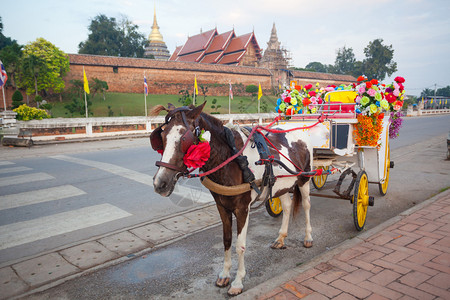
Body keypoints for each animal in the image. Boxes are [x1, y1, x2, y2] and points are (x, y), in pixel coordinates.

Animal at [151, 102, 312, 296]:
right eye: (162, 136)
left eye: (184, 138)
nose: (160, 183)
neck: (233, 160)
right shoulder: (222, 206)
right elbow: (227, 240)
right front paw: (224, 275)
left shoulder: (242, 208)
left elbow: (239, 245)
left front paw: (237, 281)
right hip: (281, 185)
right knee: (287, 206)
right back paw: (280, 239)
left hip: (304, 178)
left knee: (306, 205)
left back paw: (308, 237)